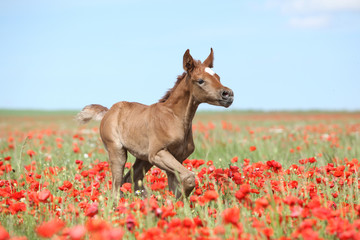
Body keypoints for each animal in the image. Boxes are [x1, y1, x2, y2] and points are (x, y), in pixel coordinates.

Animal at [76, 48, 233, 201]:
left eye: (218, 77)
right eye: (200, 81)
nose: (228, 94)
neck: (174, 118)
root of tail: (108, 111)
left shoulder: (177, 158)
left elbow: (175, 186)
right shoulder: (158, 153)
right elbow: (188, 178)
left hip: (143, 158)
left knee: (131, 179)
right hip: (117, 150)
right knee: (116, 187)